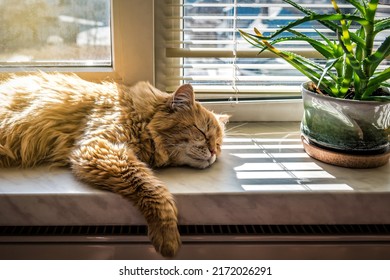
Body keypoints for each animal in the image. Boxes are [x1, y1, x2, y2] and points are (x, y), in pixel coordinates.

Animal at [0, 72, 229, 258]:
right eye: (201, 132)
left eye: (218, 143)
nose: (213, 152)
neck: (139, 114)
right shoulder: (99, 147)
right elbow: (151, 187)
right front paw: (167, 235)